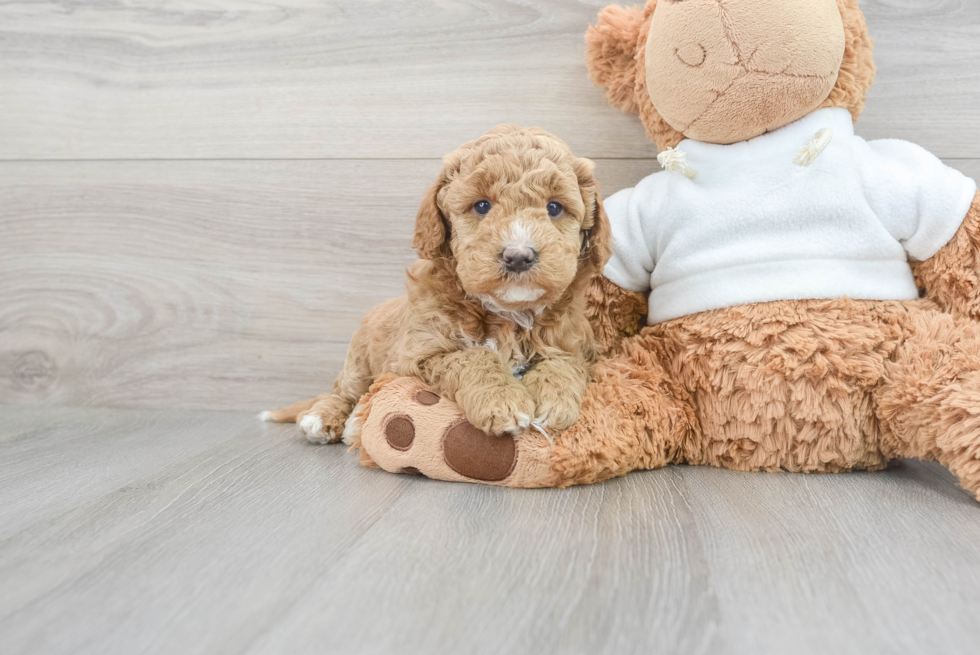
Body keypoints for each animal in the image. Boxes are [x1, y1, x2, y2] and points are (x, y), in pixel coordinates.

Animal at [264, 125, 608, 444]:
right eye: (482, 206)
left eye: (554, 207)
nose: (518, 256)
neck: (509, 314)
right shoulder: (418, 354)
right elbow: (473, 357)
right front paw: (502, 401)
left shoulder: (576, 345)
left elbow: (564, 363)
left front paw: (555, 400)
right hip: (359, 360)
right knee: (342, 391)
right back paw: (324, 419)